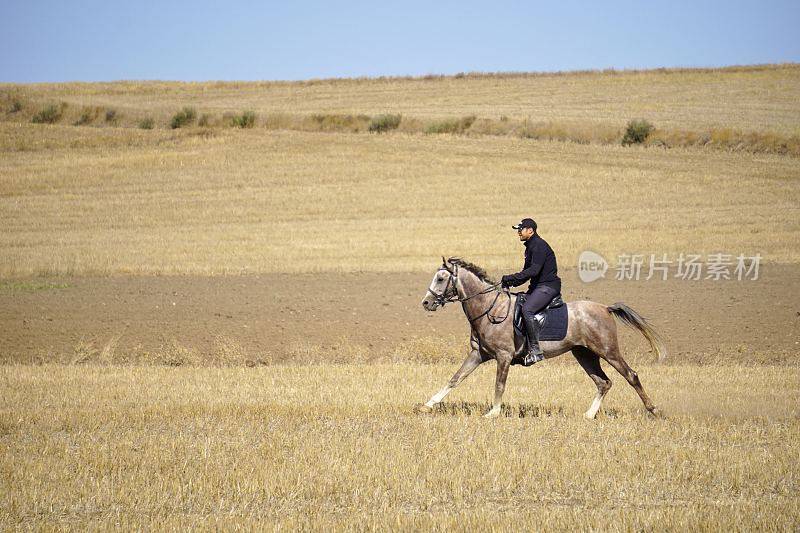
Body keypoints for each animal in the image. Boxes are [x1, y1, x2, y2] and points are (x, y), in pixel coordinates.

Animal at [416, 258, 664, 420]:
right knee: (604, 382)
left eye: (441, 278)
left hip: (608, 351)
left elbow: (499, 384)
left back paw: (653, 410)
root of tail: (605, 308)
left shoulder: (503, 357)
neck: (489, 309)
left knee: (631, 376)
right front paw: (428, 405)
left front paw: (493, 412)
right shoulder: (478, 354)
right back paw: (589, 415)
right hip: (584, 353)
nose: (426, 303)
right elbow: (455, 378)